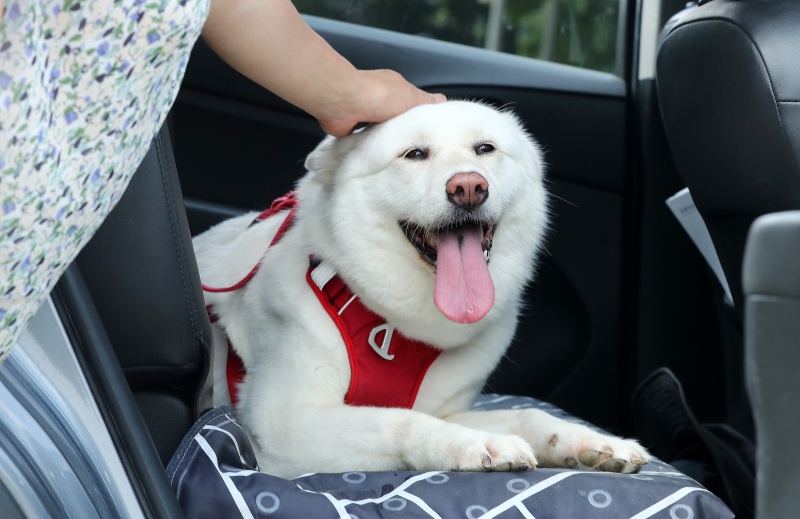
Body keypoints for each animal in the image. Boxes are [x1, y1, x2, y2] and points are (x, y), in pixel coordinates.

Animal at [195, 100, 648, 480]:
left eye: (485, 149)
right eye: (414, 154)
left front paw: (592, 441)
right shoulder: (278, 426)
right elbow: (396, 419)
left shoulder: (447, 408)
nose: (468, 187)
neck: (390, 324)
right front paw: (473, 443)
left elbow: (527, 416)